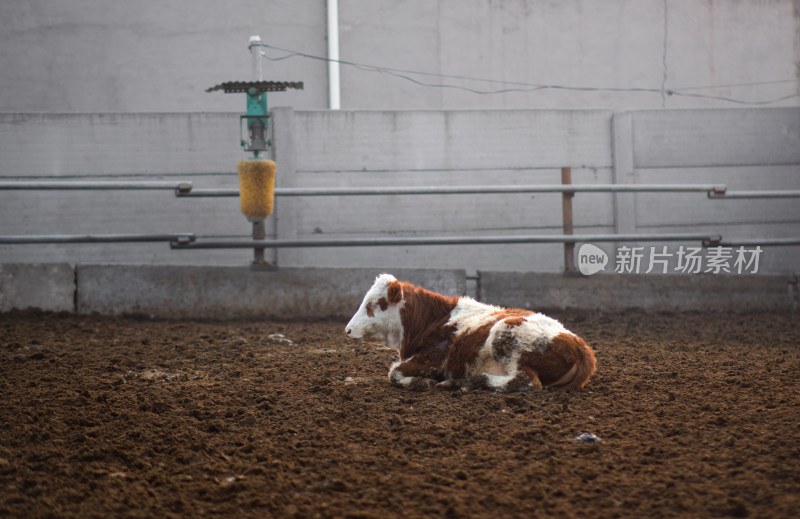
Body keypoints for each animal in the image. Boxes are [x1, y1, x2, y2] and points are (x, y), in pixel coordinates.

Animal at [344, 274, 592, 392]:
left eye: (373, 304)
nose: (348, 329)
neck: (434, 321)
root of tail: (580, 346)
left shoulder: (432, 358)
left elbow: (394, 372)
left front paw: (423, 381)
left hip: (505, 336)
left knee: (527, 381)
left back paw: (464, 383)